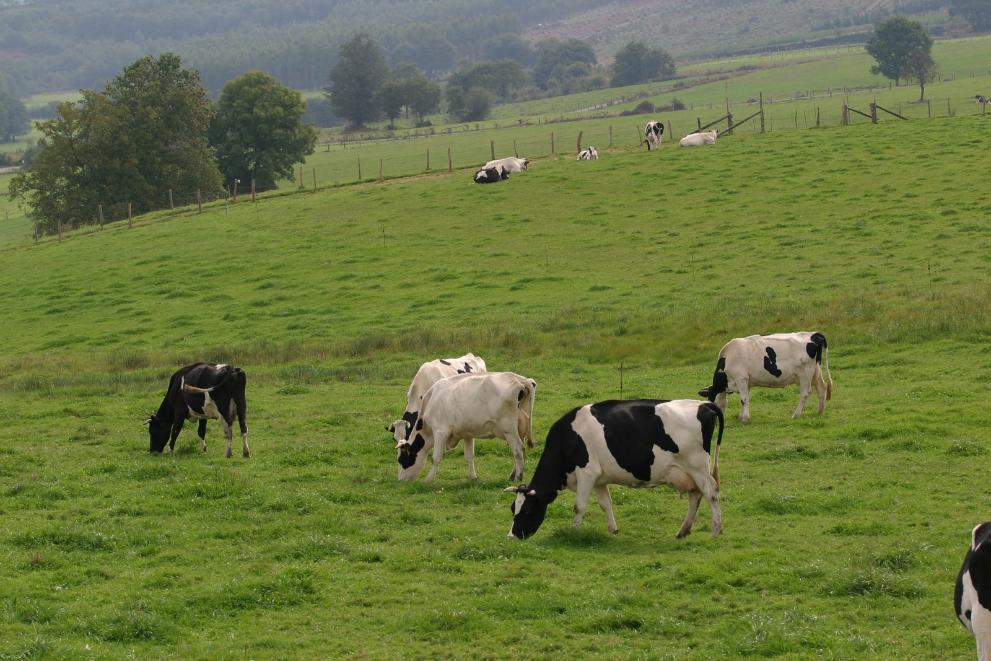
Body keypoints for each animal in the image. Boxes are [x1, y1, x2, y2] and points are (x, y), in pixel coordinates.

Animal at [508, 400, 724, 540]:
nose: (511, 536)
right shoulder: (599, 480)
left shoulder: (587, 473)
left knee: (711, 493)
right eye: (512, 508)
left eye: (527, 510)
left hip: (698, 466)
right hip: (689, 472)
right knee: (696, 495)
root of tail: (703, 403)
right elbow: (606, 504)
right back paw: (683, 531)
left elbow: (579, 506)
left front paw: (574, 531)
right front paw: (613, 530)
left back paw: (716, 531)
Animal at [696, 332, 836, 420]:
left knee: (805, 394)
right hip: (815, 372)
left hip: (805, 374)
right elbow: (744, 399)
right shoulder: (746, 382)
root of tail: (814, 334)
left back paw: (796, 415)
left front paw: (745, 418)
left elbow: (743, 399)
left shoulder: (741, 378)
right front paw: (741, 416)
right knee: (822, 389)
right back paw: (819, 411)